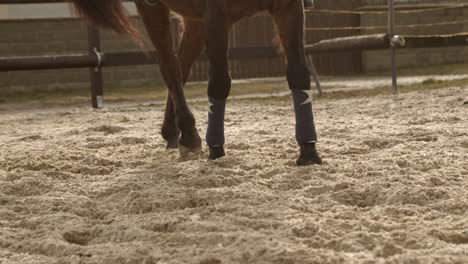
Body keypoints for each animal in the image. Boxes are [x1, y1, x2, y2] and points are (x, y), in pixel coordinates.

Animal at [70, 0, 322, 165]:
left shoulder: (288, 7)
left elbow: (299, 73)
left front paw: (308, 150)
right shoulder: (216, 16)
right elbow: (219, 82)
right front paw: (216, 150)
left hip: (194, 21)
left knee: (181, 66)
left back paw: (172, 132)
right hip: (155, 9)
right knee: (170, 66)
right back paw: (189, 134)